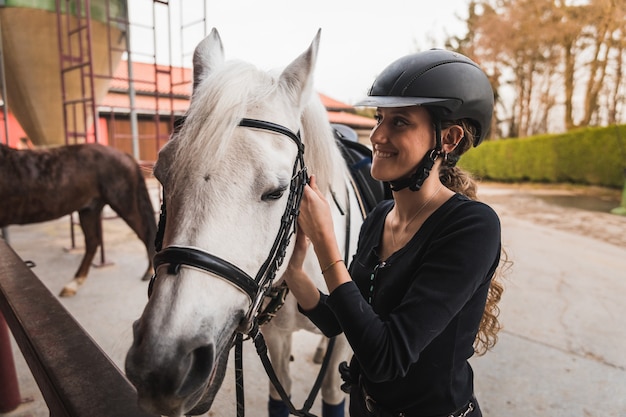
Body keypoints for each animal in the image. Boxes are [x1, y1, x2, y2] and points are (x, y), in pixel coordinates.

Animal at [0, 143, 156, 296]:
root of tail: (126, 156)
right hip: (89, 209)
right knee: (92, 242)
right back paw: (73, 284)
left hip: (123, 203)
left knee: (146, 234)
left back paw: (149, 271)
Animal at [124, 29, 360, 416]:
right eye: (161, 178)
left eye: (277, 191)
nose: (162, 364)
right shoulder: (277, 338)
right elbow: (280, 395)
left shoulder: (342, 343)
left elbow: (332, 394)